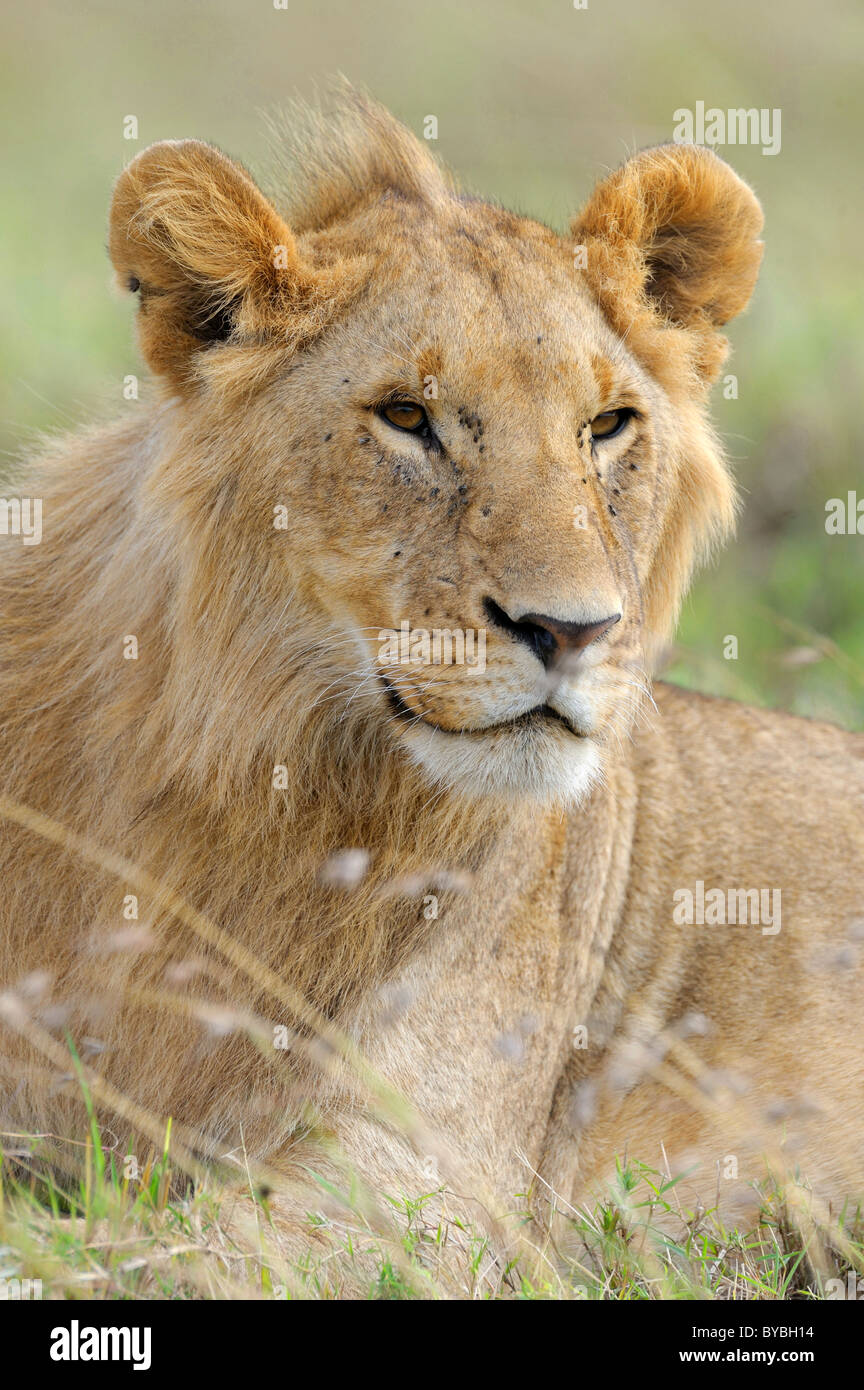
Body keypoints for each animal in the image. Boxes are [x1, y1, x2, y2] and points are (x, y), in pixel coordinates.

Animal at [1, 84, 864, 1262]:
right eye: (408, 417)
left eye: (607, 425)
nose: (572, 630)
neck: (246, 783)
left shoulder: (414, 1176)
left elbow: (147, 1258)